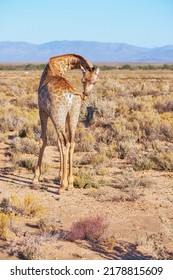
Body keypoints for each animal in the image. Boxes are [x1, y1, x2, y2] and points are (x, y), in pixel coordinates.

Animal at [32, 53, 98, 191]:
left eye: (94, 82)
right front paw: (60, 174)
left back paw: (63, 186)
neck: (56, 66)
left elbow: (43, 140)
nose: (85, 94)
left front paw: (35, 177)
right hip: (73, 115)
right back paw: (70, 182)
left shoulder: (42, 111)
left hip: (58, 115)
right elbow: (57, 142)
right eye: (83, 80)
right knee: (71, 142)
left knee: (65, 142)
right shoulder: (63, 117)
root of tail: (71, 94)